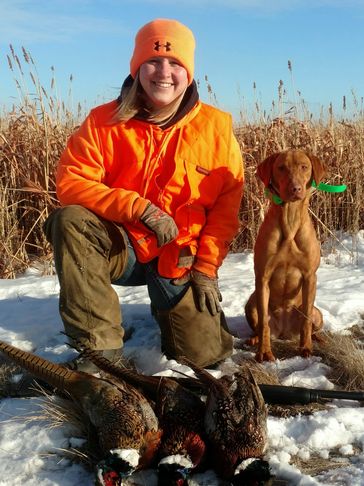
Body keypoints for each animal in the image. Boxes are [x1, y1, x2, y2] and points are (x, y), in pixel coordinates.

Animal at [246, 150, 326, 362]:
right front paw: (264, 352)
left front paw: (306, 348)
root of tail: (284, 332)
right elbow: (263, 324)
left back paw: (317, 339)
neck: (290, 219)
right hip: (251, 303)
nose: (295, 188)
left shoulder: (310, 276)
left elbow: (306, 320)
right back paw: (254, 339)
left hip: (318, 313)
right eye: (281, 167)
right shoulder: (262, 277)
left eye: (304, 167)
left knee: (312, 322)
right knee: (259, 325)